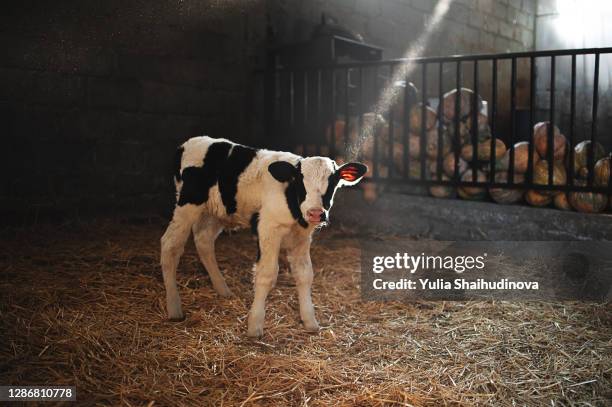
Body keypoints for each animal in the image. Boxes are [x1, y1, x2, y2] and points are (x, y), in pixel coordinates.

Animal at [160, 137, 366, 338]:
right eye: (300, 180)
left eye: (333, 181)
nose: (315, 213)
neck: (292, 204)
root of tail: (188, 143)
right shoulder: (268, 228)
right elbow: (266, 274)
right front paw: (255, 325)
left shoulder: (302, 237)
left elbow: (305, 274)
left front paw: (310, 322)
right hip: (188, 203)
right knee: (170, 245)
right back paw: (174, 307)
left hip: (216, 212)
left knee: (204, 240)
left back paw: (223, 290)